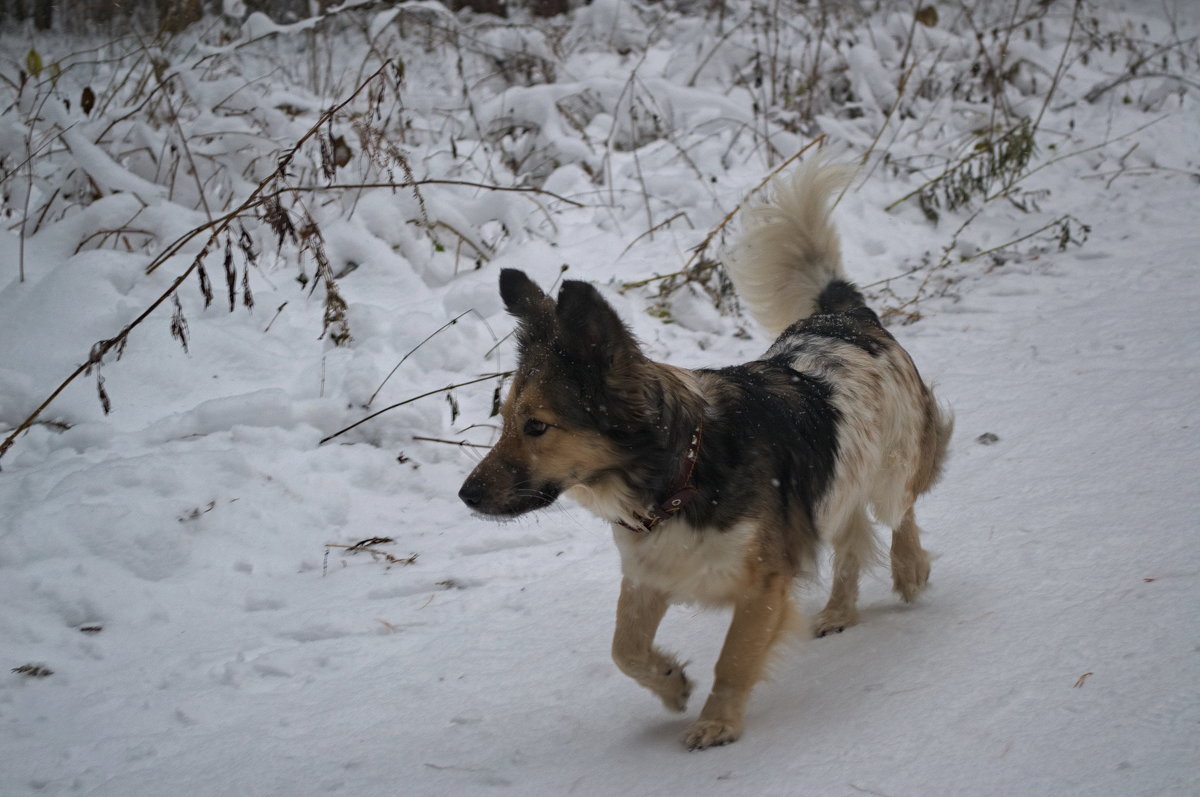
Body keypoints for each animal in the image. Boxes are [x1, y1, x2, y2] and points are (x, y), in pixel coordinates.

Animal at [453, 158, 950, 748]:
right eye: (505, 421)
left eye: (536, 426)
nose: (466, 495)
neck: (683, 475)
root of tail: (844, 317)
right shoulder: (649, 574)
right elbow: (624, 648)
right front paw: (672, 684)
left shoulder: (763, 580)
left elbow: (734, 658)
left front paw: (717, 721)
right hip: (840, 479)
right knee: (852, 538)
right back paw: (839, 610)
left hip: (891, 465)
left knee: (900, 509)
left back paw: (910, 568)